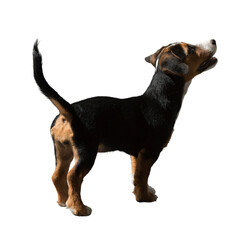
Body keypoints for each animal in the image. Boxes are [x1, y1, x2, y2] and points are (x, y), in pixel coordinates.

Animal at [32, 39, 218, 216]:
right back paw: (78, 208)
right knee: (73, 177)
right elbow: (143, 175)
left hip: (63, 150)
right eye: (191, 50)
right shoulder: (150, 151)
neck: (159, 99)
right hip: (86, 151)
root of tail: (70, 111)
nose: (214, 41)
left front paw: (142, 192)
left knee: (57, 175)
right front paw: (144, 198)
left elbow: (136, 175)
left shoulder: (137, 154)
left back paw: (64, 201)